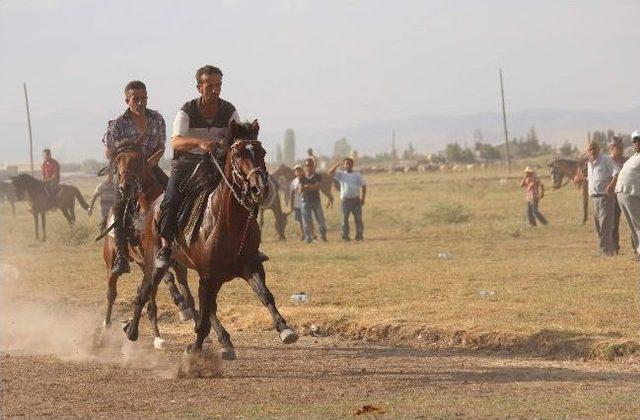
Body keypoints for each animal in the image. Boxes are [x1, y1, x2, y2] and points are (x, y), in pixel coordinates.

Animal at [100, 141, 194, 348]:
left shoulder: (176, 262)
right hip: (112, 262)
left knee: (150, 299)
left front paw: (189, 314)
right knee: (111, 293)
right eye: (118, 160)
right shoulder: (153, 258)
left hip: (143, 263)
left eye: (138, 161)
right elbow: (164, 281)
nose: (125, 186)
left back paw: (156, 336)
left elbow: (183, 288)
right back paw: (106, 327)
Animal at [124, 120, 298, 360]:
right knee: (145, 290)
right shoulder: (208, 276)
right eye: (237, 154)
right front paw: (195, 348)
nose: (259, 188)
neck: (229, 224)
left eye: (262, 152)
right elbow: (206, 313)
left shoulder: (250, 266)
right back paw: (132, 331)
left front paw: (285, 329)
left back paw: (224, 340)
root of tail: (151, 208)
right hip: (154, 263)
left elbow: (265, 295)